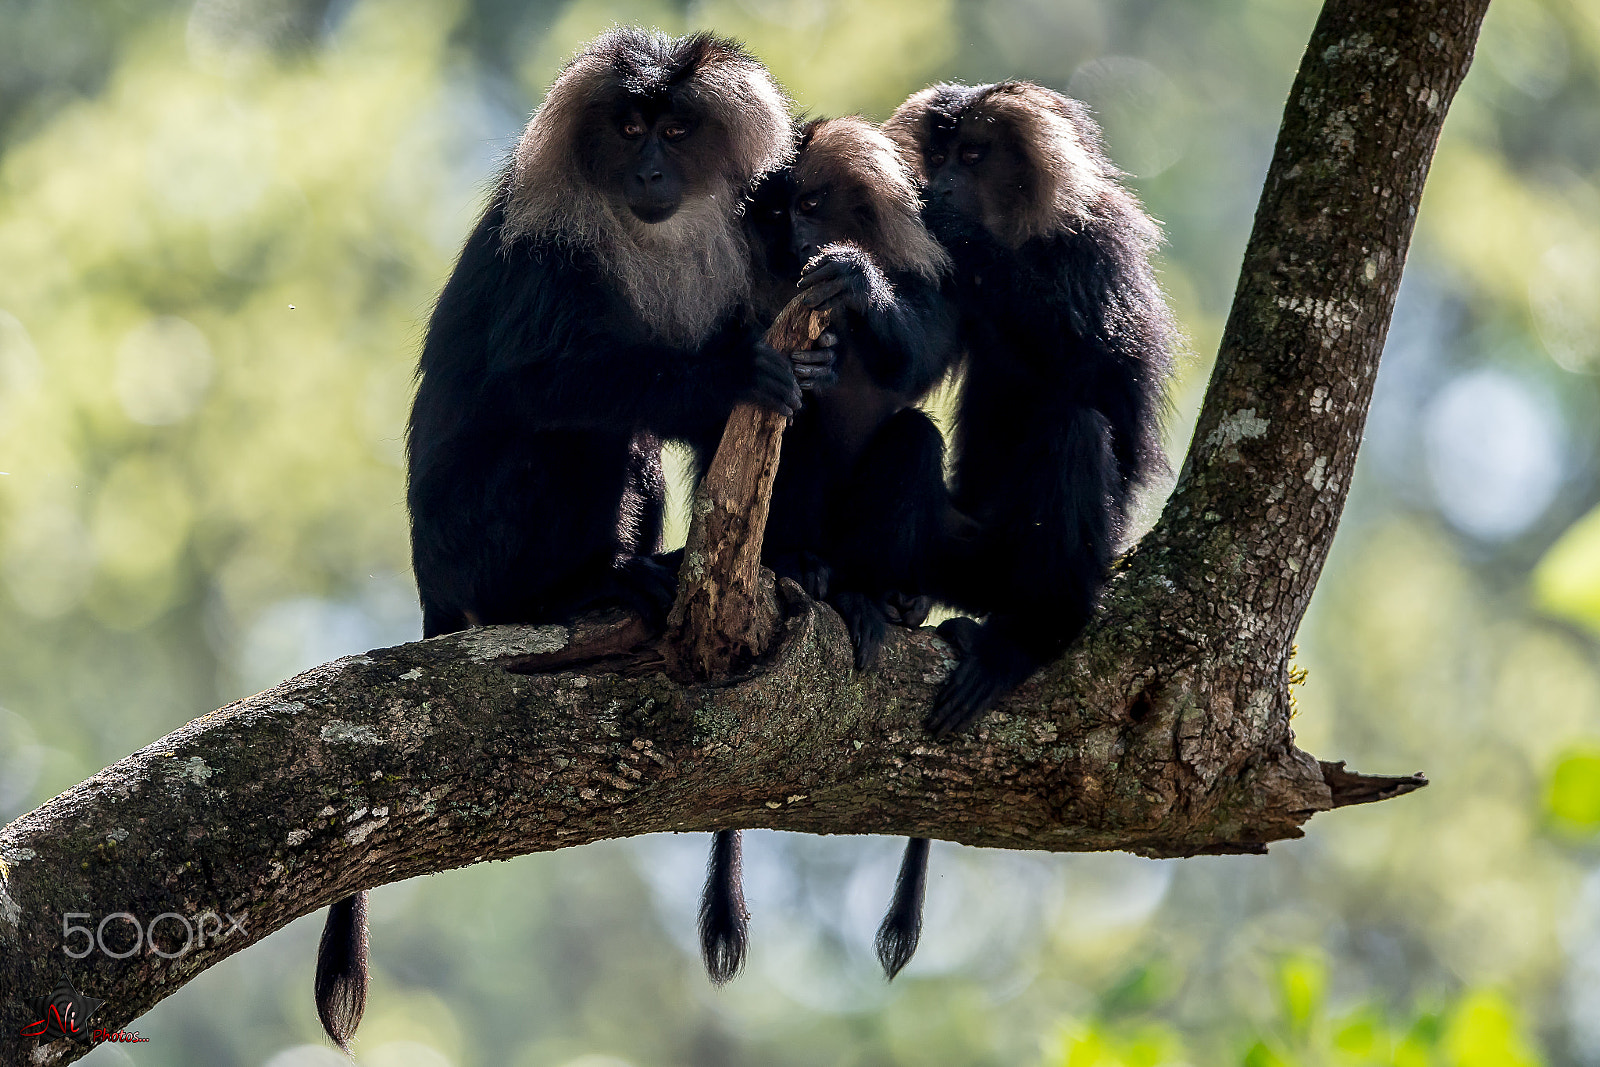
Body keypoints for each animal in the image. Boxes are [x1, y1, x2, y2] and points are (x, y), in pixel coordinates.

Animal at [313, 29, 797, 1050]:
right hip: (479, 539)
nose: (650, 169)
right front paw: (725, 377)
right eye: (629, 127)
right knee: (586, 427)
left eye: (675, 130)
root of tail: (430, 581)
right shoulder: (546, 249)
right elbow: (540, 377)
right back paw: (579, 589)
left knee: (635, 451)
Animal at [696, 115, 963, 989]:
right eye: (779, 215)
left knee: (913, 438)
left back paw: (877, 597)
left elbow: (914, 359)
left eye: (810, 206)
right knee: (799, 424)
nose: (796, 243)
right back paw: (808, 572)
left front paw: (855, 278)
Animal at [871, 80, 1178, 979]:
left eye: (974, 155)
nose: (938, 184)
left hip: (1022, 558)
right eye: (940, 152)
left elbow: (1102, 373)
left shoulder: (1096, 252)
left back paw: (1030, 637)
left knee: (1076, 428)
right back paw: (900, 595)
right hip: (955, 546)